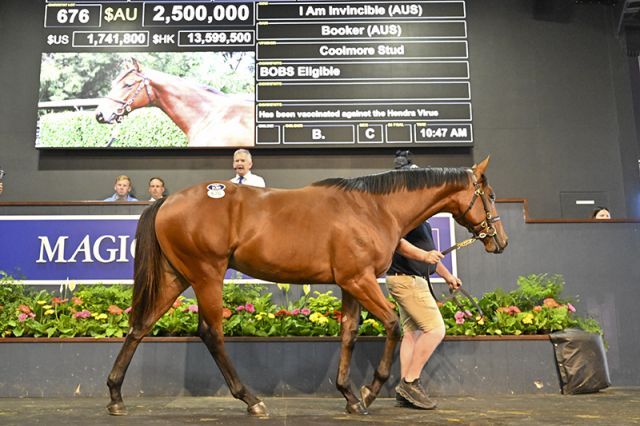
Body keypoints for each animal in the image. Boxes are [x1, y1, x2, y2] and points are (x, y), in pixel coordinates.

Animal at [105, 156, 508, 416]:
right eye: (489, 195)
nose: (500, 242)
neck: (373, 208)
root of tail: (166, 200)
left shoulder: (350, 283)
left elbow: (349, 332)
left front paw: (349, 395)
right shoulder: (361, 280)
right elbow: (393, 325)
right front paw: (368, 392)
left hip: (176, 276)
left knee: (140, 325)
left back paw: (115, 395)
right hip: (207, 275)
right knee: (211, 332)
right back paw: (251, 400)